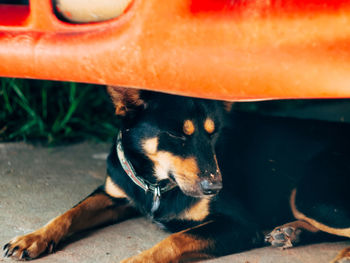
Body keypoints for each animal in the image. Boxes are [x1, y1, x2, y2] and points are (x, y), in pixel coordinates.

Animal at [3, 87, 350, 262]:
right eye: (176, 135)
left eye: (213, 133)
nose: (216, 187)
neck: (156, 183)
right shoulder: (114, 194)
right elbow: (68, 214)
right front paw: (32, 238)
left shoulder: (238, 224)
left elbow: (173, 241)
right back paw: (290, 232)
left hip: (310, 195)